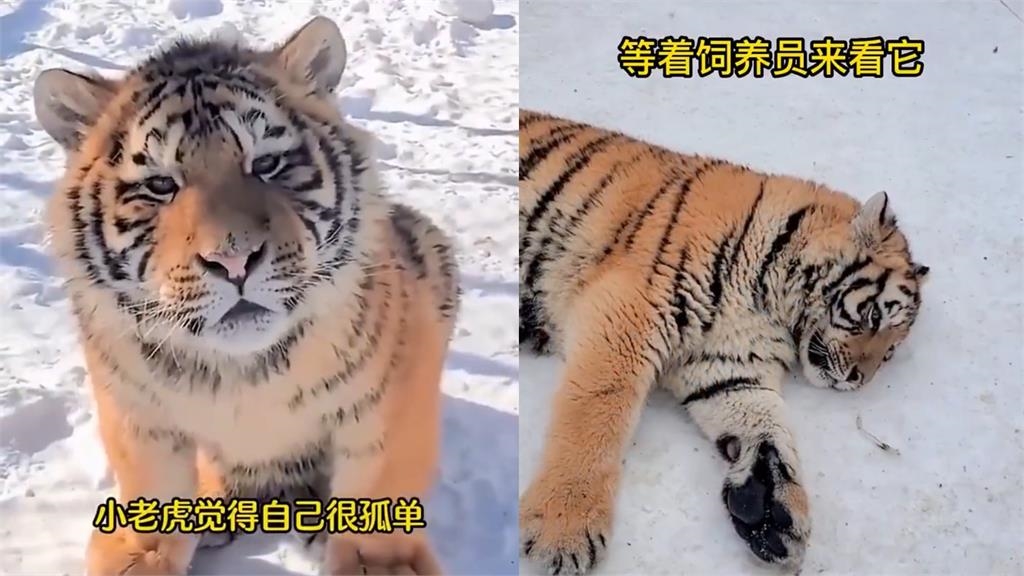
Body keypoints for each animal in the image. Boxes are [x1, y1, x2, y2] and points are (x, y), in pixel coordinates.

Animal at [32, 17, 459, 575]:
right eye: (161, 185)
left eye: (269, 163)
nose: (233, 261)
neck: (243, 375)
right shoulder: (135, 408)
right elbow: (151, 482)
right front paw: (142, 556)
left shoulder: (394, 386)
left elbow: (383, 479)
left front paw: (378, 564)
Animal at [518, 109, 929, 574]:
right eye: (875, 317)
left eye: (890, 353)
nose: (860, 379)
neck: (772, 305)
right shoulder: (630, 307)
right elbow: (597, 409)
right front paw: (564, 530)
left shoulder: (727, 363)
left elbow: (765, 421)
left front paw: (770, 511)